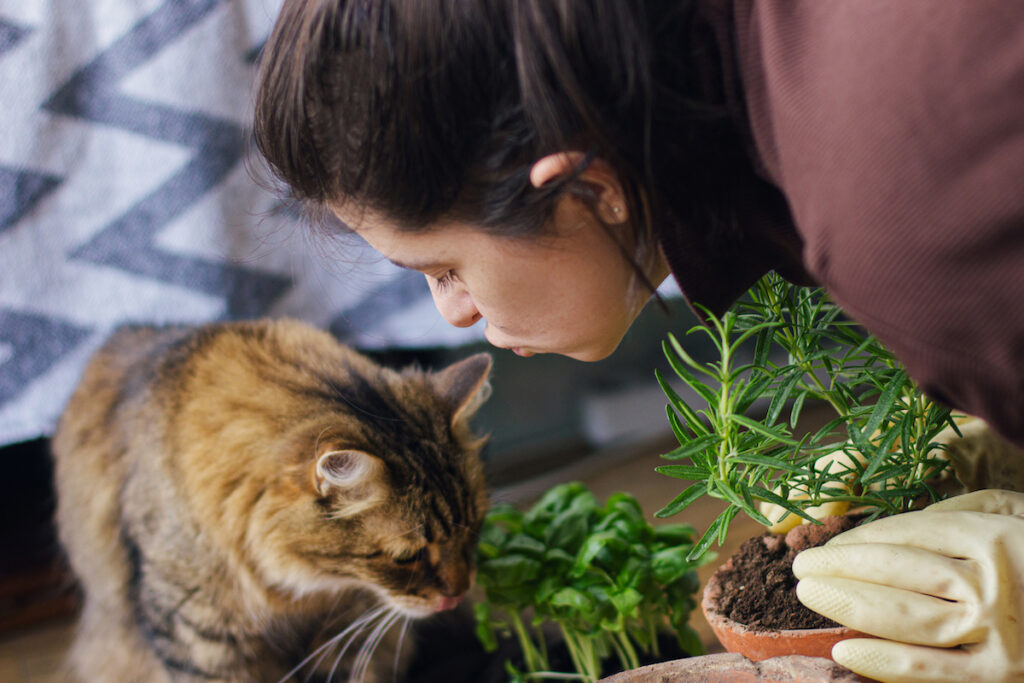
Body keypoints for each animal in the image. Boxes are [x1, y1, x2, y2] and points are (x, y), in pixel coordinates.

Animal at [51, 321, 491, 683]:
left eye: (474, 529)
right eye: (406, 557)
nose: (458, 593)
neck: (300, 588)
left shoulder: (343, 630)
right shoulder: (198, 637)